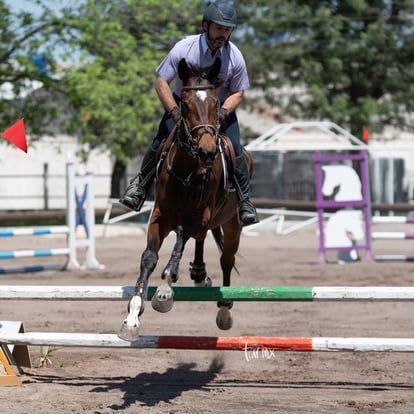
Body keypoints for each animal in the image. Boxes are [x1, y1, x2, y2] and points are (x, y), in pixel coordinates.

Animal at [117, 58, 252, 342]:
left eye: (215, 103)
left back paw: (224, 312)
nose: (208, 152)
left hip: (232, 226)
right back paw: (199, 273)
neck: (188, 170)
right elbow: (149, 257)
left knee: (226, 260)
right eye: (186, 105)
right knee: (201, 243)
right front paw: (132, 317)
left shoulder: (199, 218)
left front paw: (165, 290)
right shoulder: (159, 217)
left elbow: (180, 236)